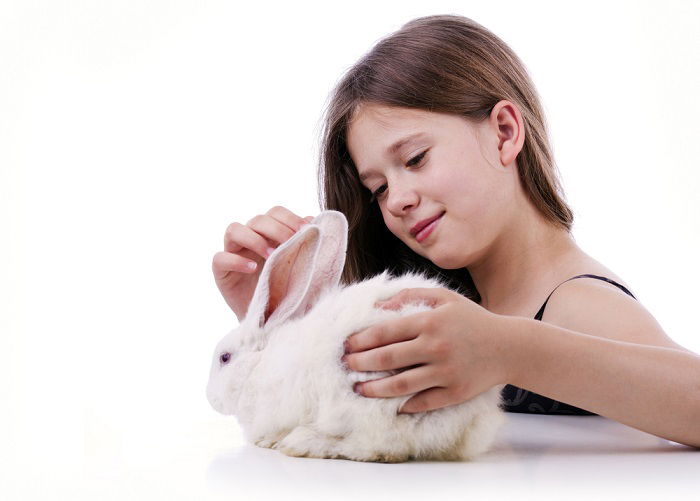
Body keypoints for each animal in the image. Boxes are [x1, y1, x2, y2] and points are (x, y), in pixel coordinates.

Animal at [205, 208, 506, 460]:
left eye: (224, 358)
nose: (210, 399)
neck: (261, 364)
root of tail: (470, 414)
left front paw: (270, 440)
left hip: (370, 400)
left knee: (380, 446)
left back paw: (303, 442)